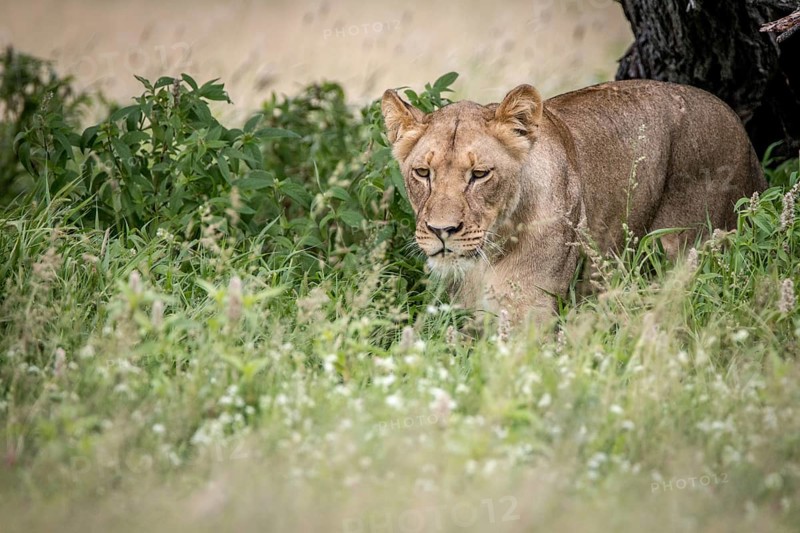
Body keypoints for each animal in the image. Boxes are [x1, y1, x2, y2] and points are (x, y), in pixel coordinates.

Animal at [381, 79, 766, 324]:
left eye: (479, 174)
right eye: (422, 173)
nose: (441, 230)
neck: (485, 259)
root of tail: (738, 125)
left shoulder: (529, 315)